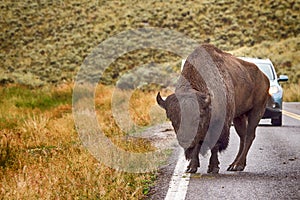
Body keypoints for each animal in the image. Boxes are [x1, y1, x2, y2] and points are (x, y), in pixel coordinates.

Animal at [157, 44, 270, 173]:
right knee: (243, 137)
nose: (185, 140)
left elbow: (214, 145)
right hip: (239, 117)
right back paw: (234, 165)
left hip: (256, 111)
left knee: (249, 136)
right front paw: (191, 167)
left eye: (197, 118)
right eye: (171, 119)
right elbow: (197, 144)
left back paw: (238, 165)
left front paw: (213, 167)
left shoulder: (219, 125)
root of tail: (264, 77)